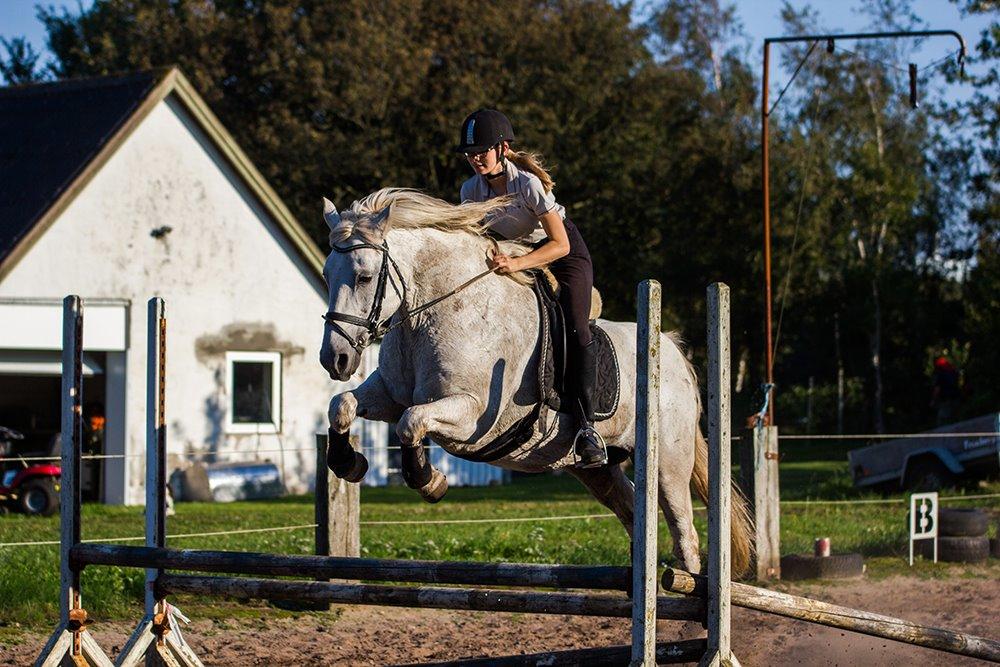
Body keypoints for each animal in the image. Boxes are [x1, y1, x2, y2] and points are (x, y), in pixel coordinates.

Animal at [320, 188, 752, 576]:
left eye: (364, 276)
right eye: (327, 274)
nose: (334, 359)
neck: (437, 309)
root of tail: (673, 352)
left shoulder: (472, 414)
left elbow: (411, 422)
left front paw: (430, 481)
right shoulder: (388, 395)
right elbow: (342, 405)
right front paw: (348, 463)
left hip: (667, 463)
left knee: (684, 532)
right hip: (597, 469)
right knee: (632, 511)